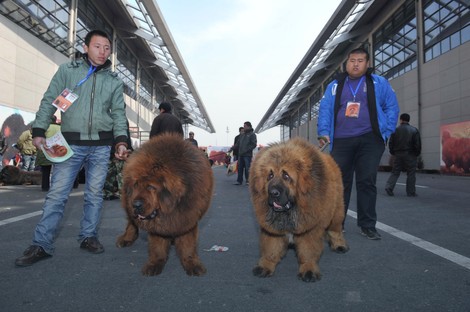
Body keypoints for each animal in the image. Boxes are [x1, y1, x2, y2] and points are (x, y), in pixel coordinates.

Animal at [116, 133, 214, 276]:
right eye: (136, 185)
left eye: (151, 187)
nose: (136, 204)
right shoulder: (158, 226)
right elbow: (158, 246)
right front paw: (155, 263)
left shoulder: (187, 218)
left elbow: (188, 245)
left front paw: (192, 263)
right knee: (131, 223)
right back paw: (126, 238)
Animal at [250, 138, 348, 282]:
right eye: (270, 175)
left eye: (286, 176)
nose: (273, 193)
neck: (291, 211)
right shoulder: (272, 229)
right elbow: (271, 248)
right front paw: (265, 265)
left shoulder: (309, 229)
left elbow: (308, 251)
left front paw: (308, 269)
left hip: (337, 211)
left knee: (335, 230)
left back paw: (339, 245)